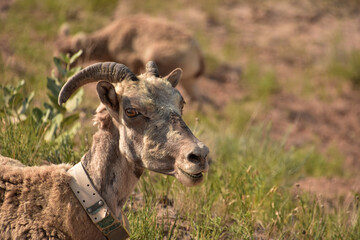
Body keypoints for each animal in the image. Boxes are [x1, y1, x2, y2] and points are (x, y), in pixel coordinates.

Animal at [54, 14, 204, 101]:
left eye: (69, 53)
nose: (57, 75)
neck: (111, 38)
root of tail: (197, 50)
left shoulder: (131, 61)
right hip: (189, 81)